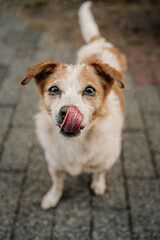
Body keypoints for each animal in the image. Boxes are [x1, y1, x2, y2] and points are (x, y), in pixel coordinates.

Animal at [21, 0, 126, 209]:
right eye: (54, 89)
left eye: (89, 90)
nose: (67, 112)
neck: (77, 142)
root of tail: (99, 41)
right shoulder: (55, 164)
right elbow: (57, 183)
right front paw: (52, 198)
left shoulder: (106, 160)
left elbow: (99, 173)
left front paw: (98, 185)